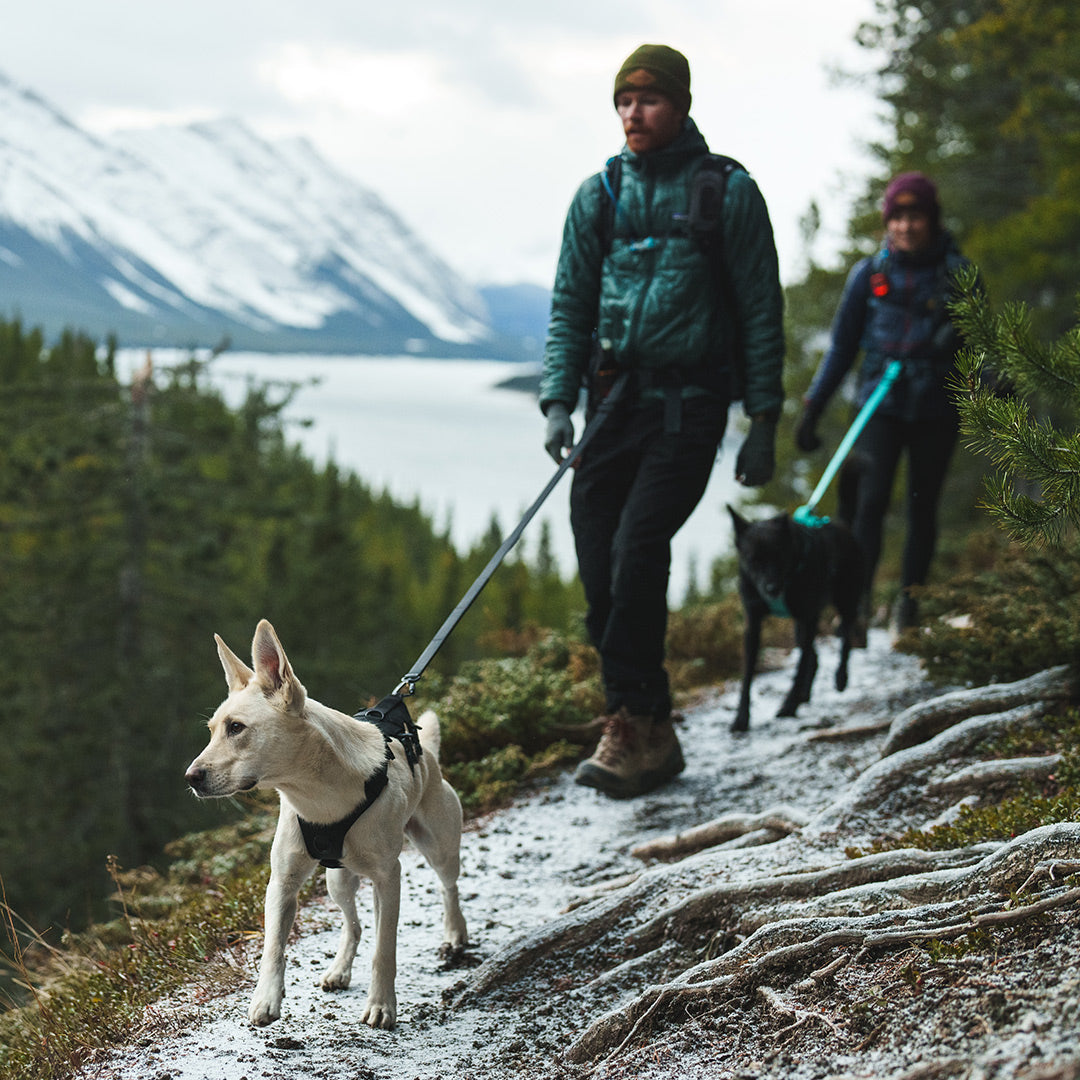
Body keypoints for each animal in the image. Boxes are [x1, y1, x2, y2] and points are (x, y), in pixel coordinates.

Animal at [184, 622, 468, 1023]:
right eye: (212, 730)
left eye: (236, 728)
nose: (190, 777)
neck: (319, 795)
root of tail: (427, 752)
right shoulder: (282, 883)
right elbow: (273, 948)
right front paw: (266, 998)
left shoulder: (389, 877)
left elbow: (385, 950)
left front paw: (382, 1004)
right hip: (338, 880)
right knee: (355, 925)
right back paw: (340, 970)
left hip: (438, 847)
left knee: (447, 887)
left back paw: (455, 933)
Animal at [725, 494, 868, 738]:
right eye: (753, 560)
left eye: (779, 556)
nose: (771, 589)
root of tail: (842, 527)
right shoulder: (753, 624)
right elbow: (747, 675)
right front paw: (741, 718)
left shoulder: (808, 617)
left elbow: (800, 667)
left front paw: (789, 705)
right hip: (801, 627)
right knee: (814, 656)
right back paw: (805, 694)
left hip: (845, 600)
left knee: (845, 638)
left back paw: (840, 677)